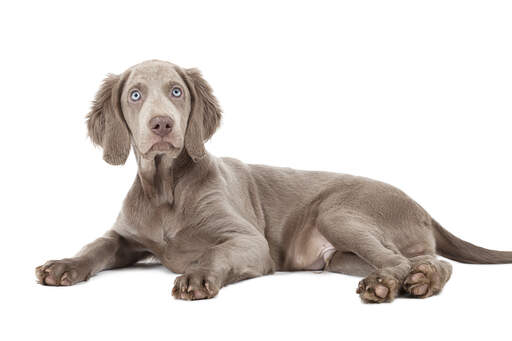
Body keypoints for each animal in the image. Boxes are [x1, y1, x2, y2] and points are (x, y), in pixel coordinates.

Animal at [36, 59, 512, 302]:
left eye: (176, 92)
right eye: (135, 94)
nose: (162, 126)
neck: (165, 189)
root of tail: (424, 208)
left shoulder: (249, 242)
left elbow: (215, 252)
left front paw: (196, 276)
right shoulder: (125, 236)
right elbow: (95, 247)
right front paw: (63, 265)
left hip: (339, 211)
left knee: (407, 262)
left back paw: (395, 286)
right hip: (340, 258)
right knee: (418, 261)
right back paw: (412, 281)